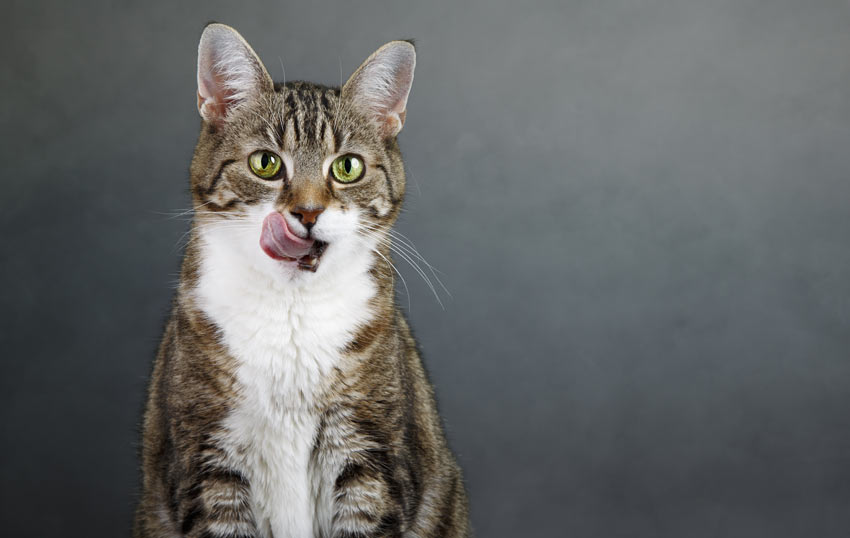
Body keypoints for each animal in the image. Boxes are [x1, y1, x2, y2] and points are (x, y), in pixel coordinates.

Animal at [136, 24, 474, 536]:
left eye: (348, 167)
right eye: (266, 163)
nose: (309, 212)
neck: (291, 310)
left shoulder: (372, 460)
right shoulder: (206, 463)